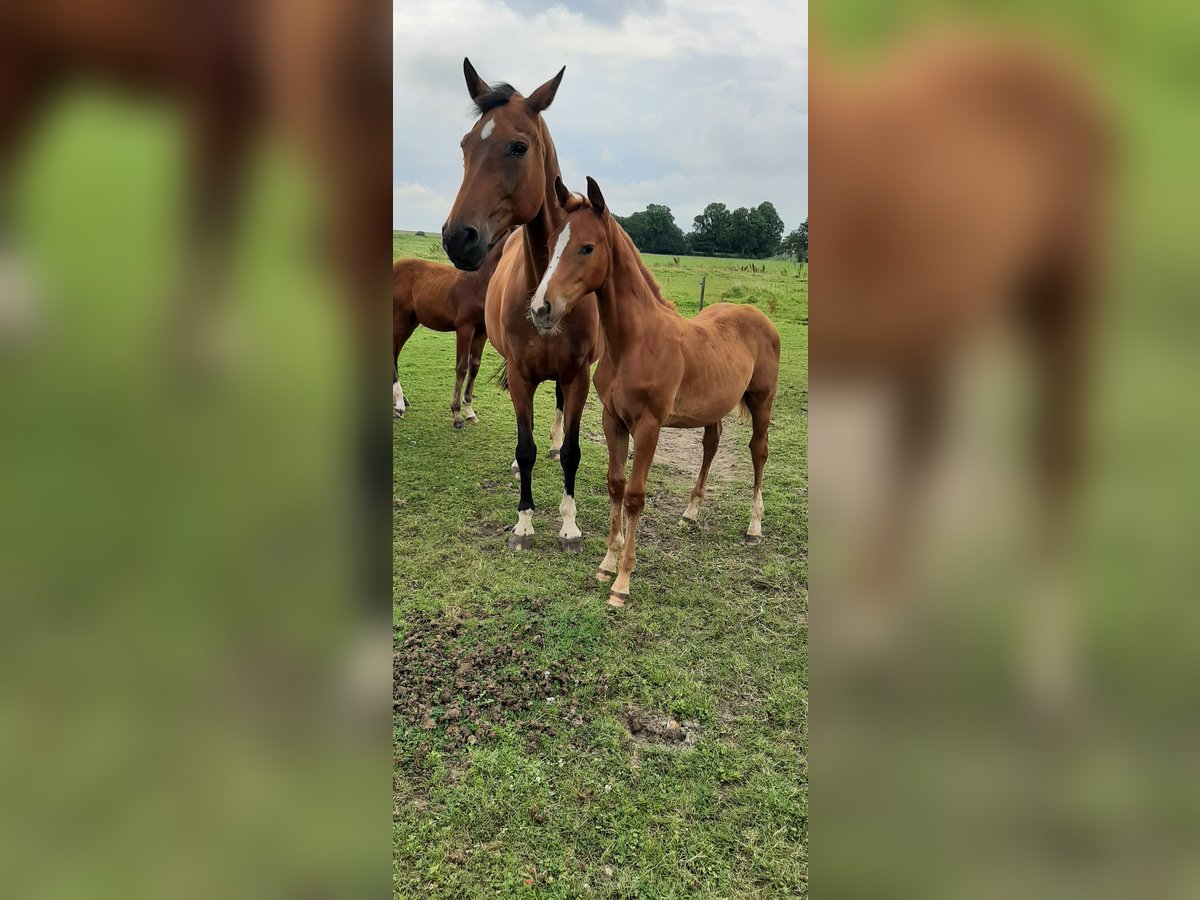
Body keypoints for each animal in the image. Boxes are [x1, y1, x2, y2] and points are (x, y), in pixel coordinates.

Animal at [391, 232, 508, 429]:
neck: (479, 283)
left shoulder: (481, 332)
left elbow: (474, 366)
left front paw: (470, 412)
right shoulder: (465, 328)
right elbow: (461, 367)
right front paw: (457, 414)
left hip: (410, 323)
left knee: (395, 353)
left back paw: (402, 399)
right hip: (399, 319)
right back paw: (399, 405)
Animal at [441, 60, 600, 554]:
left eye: (518, 146)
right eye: (465, 145)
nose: (458, 237)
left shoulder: (578, 374)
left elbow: (572, 451)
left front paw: (569, 525)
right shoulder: (519, 374)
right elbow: (523, 447)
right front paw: (524, 522)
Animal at [532, 178, 777, 609]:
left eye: (587, 247)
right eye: (552, 243)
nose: (540, 308)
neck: (636, 341)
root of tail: (760, 315)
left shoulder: (648, 426)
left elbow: (634, 495)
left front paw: (622, 582)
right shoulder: (612, 420)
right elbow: (615, 485)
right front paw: (606, 565)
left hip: (762, 401)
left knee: (759, 452)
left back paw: (754, 527)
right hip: (712, 407)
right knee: (711, 445)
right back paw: (691, 513)